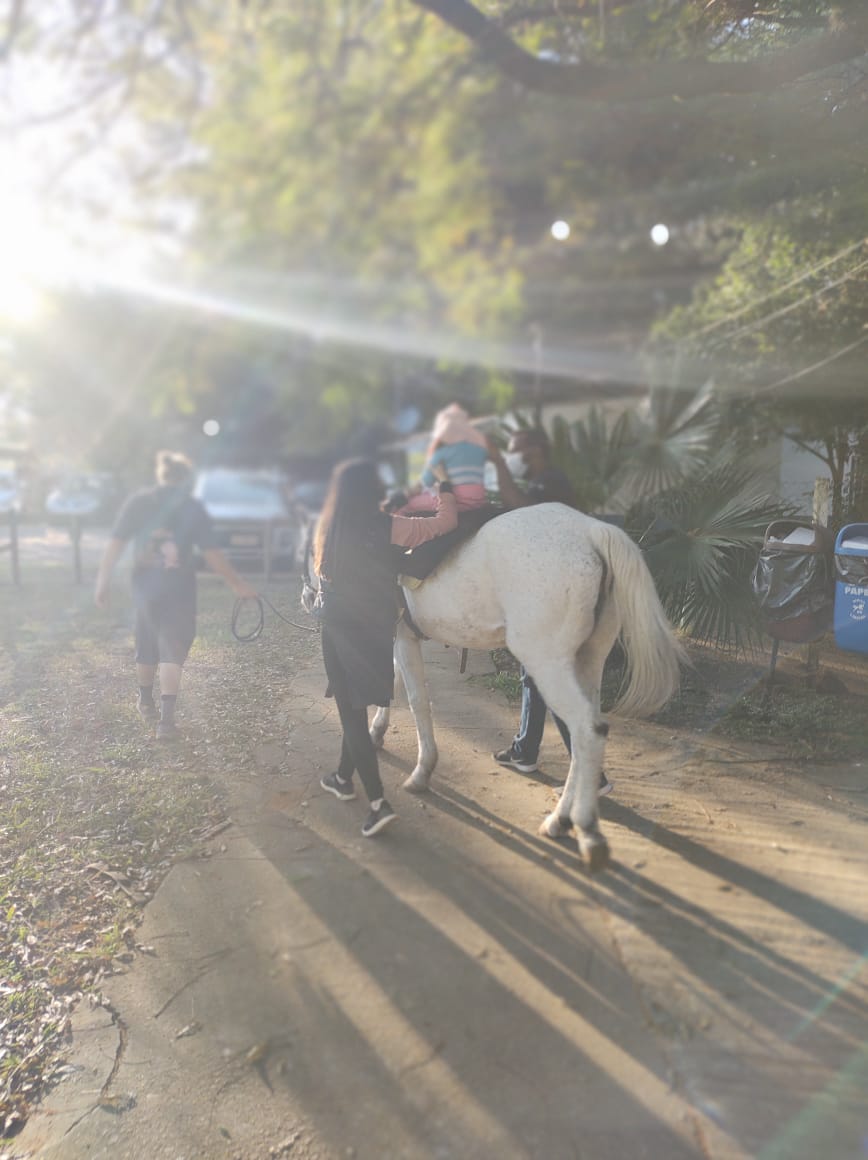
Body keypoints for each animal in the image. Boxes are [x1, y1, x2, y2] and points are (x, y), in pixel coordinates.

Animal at [366, 503, 686, 872]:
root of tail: (591, 531)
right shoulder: (401, 634)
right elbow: (392, 680)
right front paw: (376, 732)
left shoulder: (401, 634)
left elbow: (415, 697)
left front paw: (422, 771)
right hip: (588, 660)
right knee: (583, 732)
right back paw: (562, 819)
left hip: (546, 662)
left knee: (587, 730)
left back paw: (582, 826)